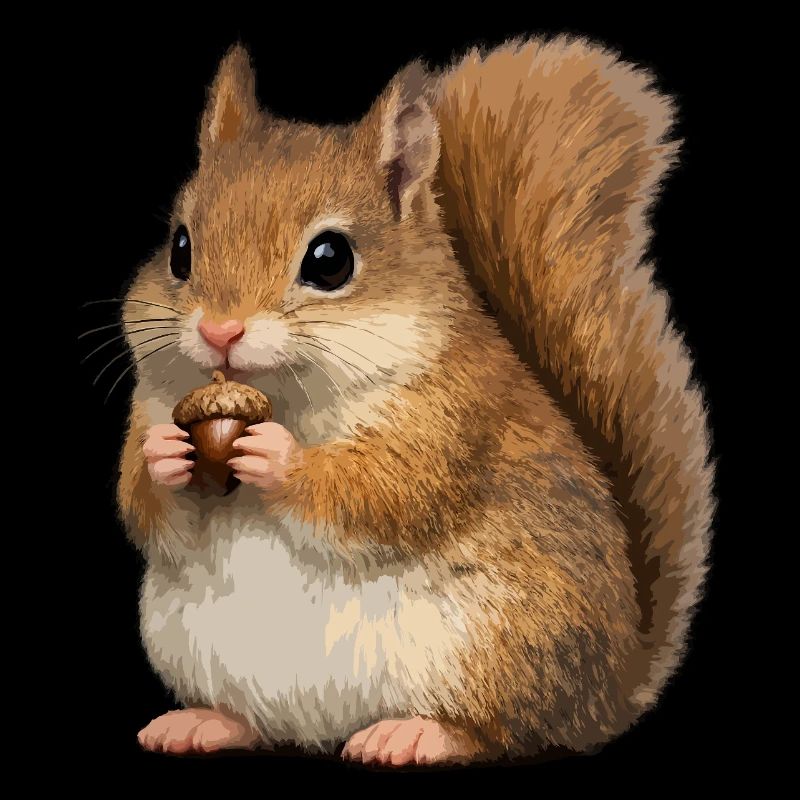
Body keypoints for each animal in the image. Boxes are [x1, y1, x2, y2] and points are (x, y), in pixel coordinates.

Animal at [117, 37, 714, 765]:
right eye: (179, 248)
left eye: (330, 259)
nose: (218, 332)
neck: (286, 395)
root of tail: (609, 691)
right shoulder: (152, 401)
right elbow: (144, 507)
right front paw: (163, 458)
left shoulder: (452, 415)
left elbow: (388, 491)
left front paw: (279, 458)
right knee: (260, 723)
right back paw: (207, 722)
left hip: (500, 646)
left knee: (504, 732)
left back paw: (417, 733)